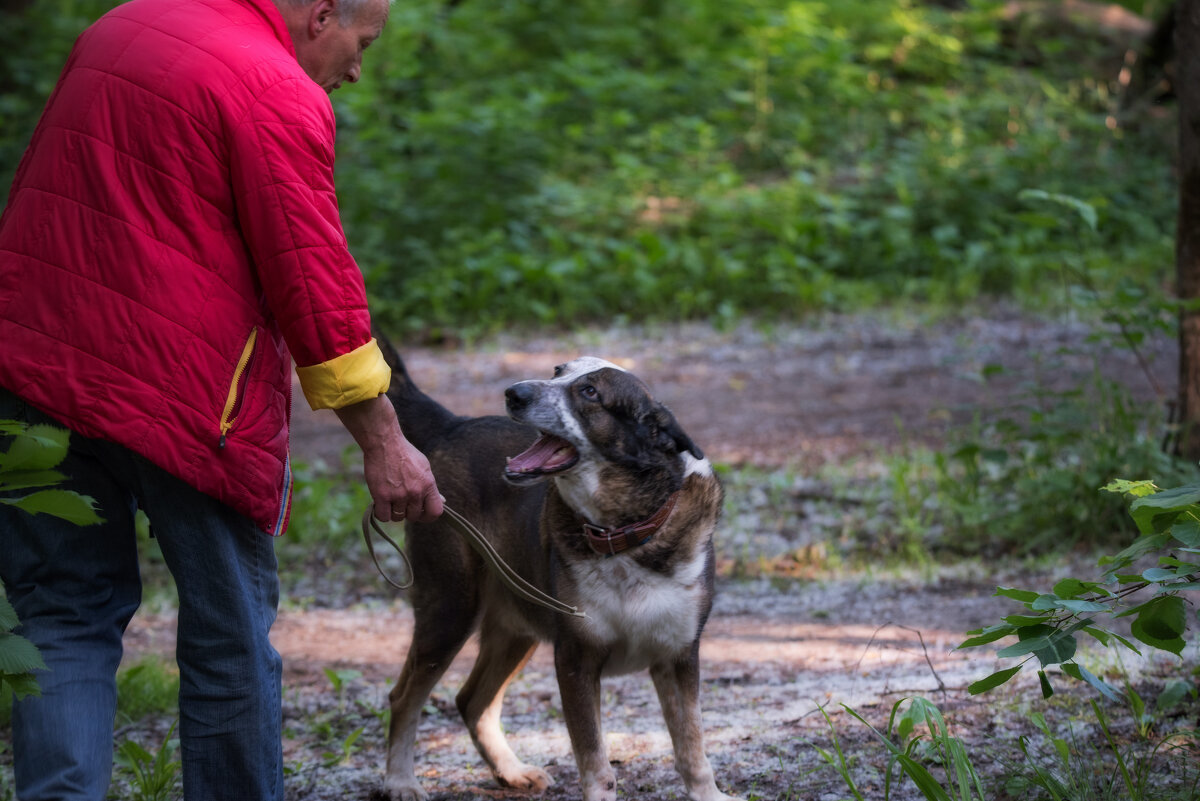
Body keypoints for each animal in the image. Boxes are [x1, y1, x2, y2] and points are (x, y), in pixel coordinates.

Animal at [376, 333, 739, 801]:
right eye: (556, 372)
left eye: (590, 392)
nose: (514, 392)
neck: (622, 534)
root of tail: (453, 426)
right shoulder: (576, 660)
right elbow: (596, 764)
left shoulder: (678, 656)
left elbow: (692, 748)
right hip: (450, 610)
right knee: (405, 697)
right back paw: (401, 781)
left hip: (516, 629)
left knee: (471, 700)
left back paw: (510, 771)